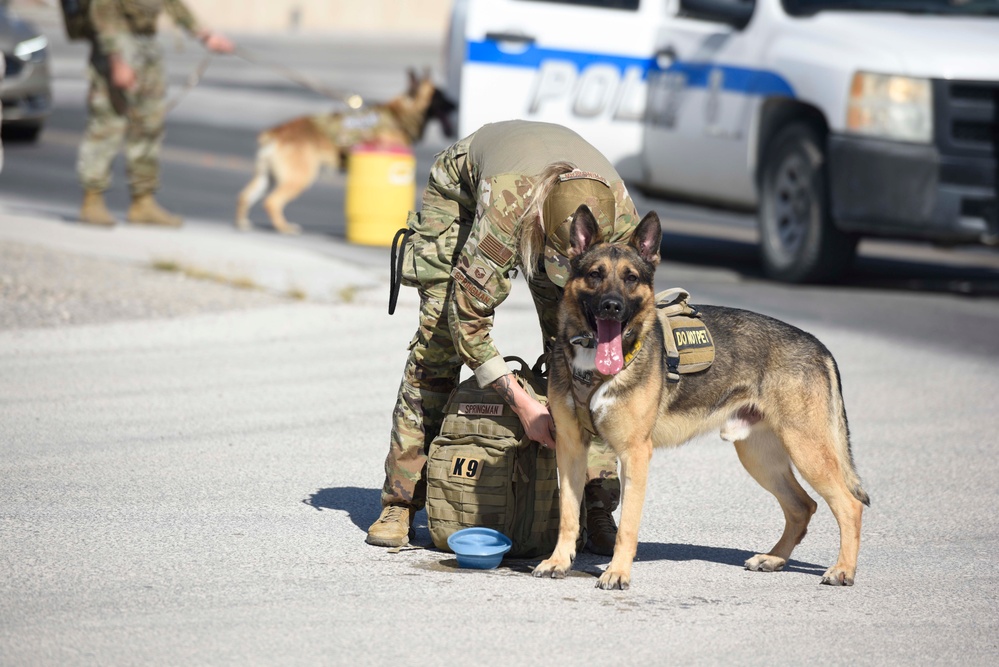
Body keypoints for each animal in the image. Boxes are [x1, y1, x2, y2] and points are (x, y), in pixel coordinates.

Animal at [234, 70, 458, 235]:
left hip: (266, 177)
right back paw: (284, 227)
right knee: (272, 202)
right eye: (439, 95)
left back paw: (243, 223)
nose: (455, 104)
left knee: (245, 195)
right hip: (299, 177)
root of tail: (277, 132)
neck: (398, 115)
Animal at [536, 207, 872, 588]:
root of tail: (820, 347)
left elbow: (628, 528)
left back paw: (843, 569)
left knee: (848, 505)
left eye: (631, 278)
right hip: (760, 457)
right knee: (803, 507)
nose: (612, 306)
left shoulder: (635, 453)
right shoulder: (570, 449)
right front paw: (558, 561)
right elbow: (567, 515)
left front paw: (618, 572)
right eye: (595, 274)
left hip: (807, 451)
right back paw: (774, 559)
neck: (596, 363)